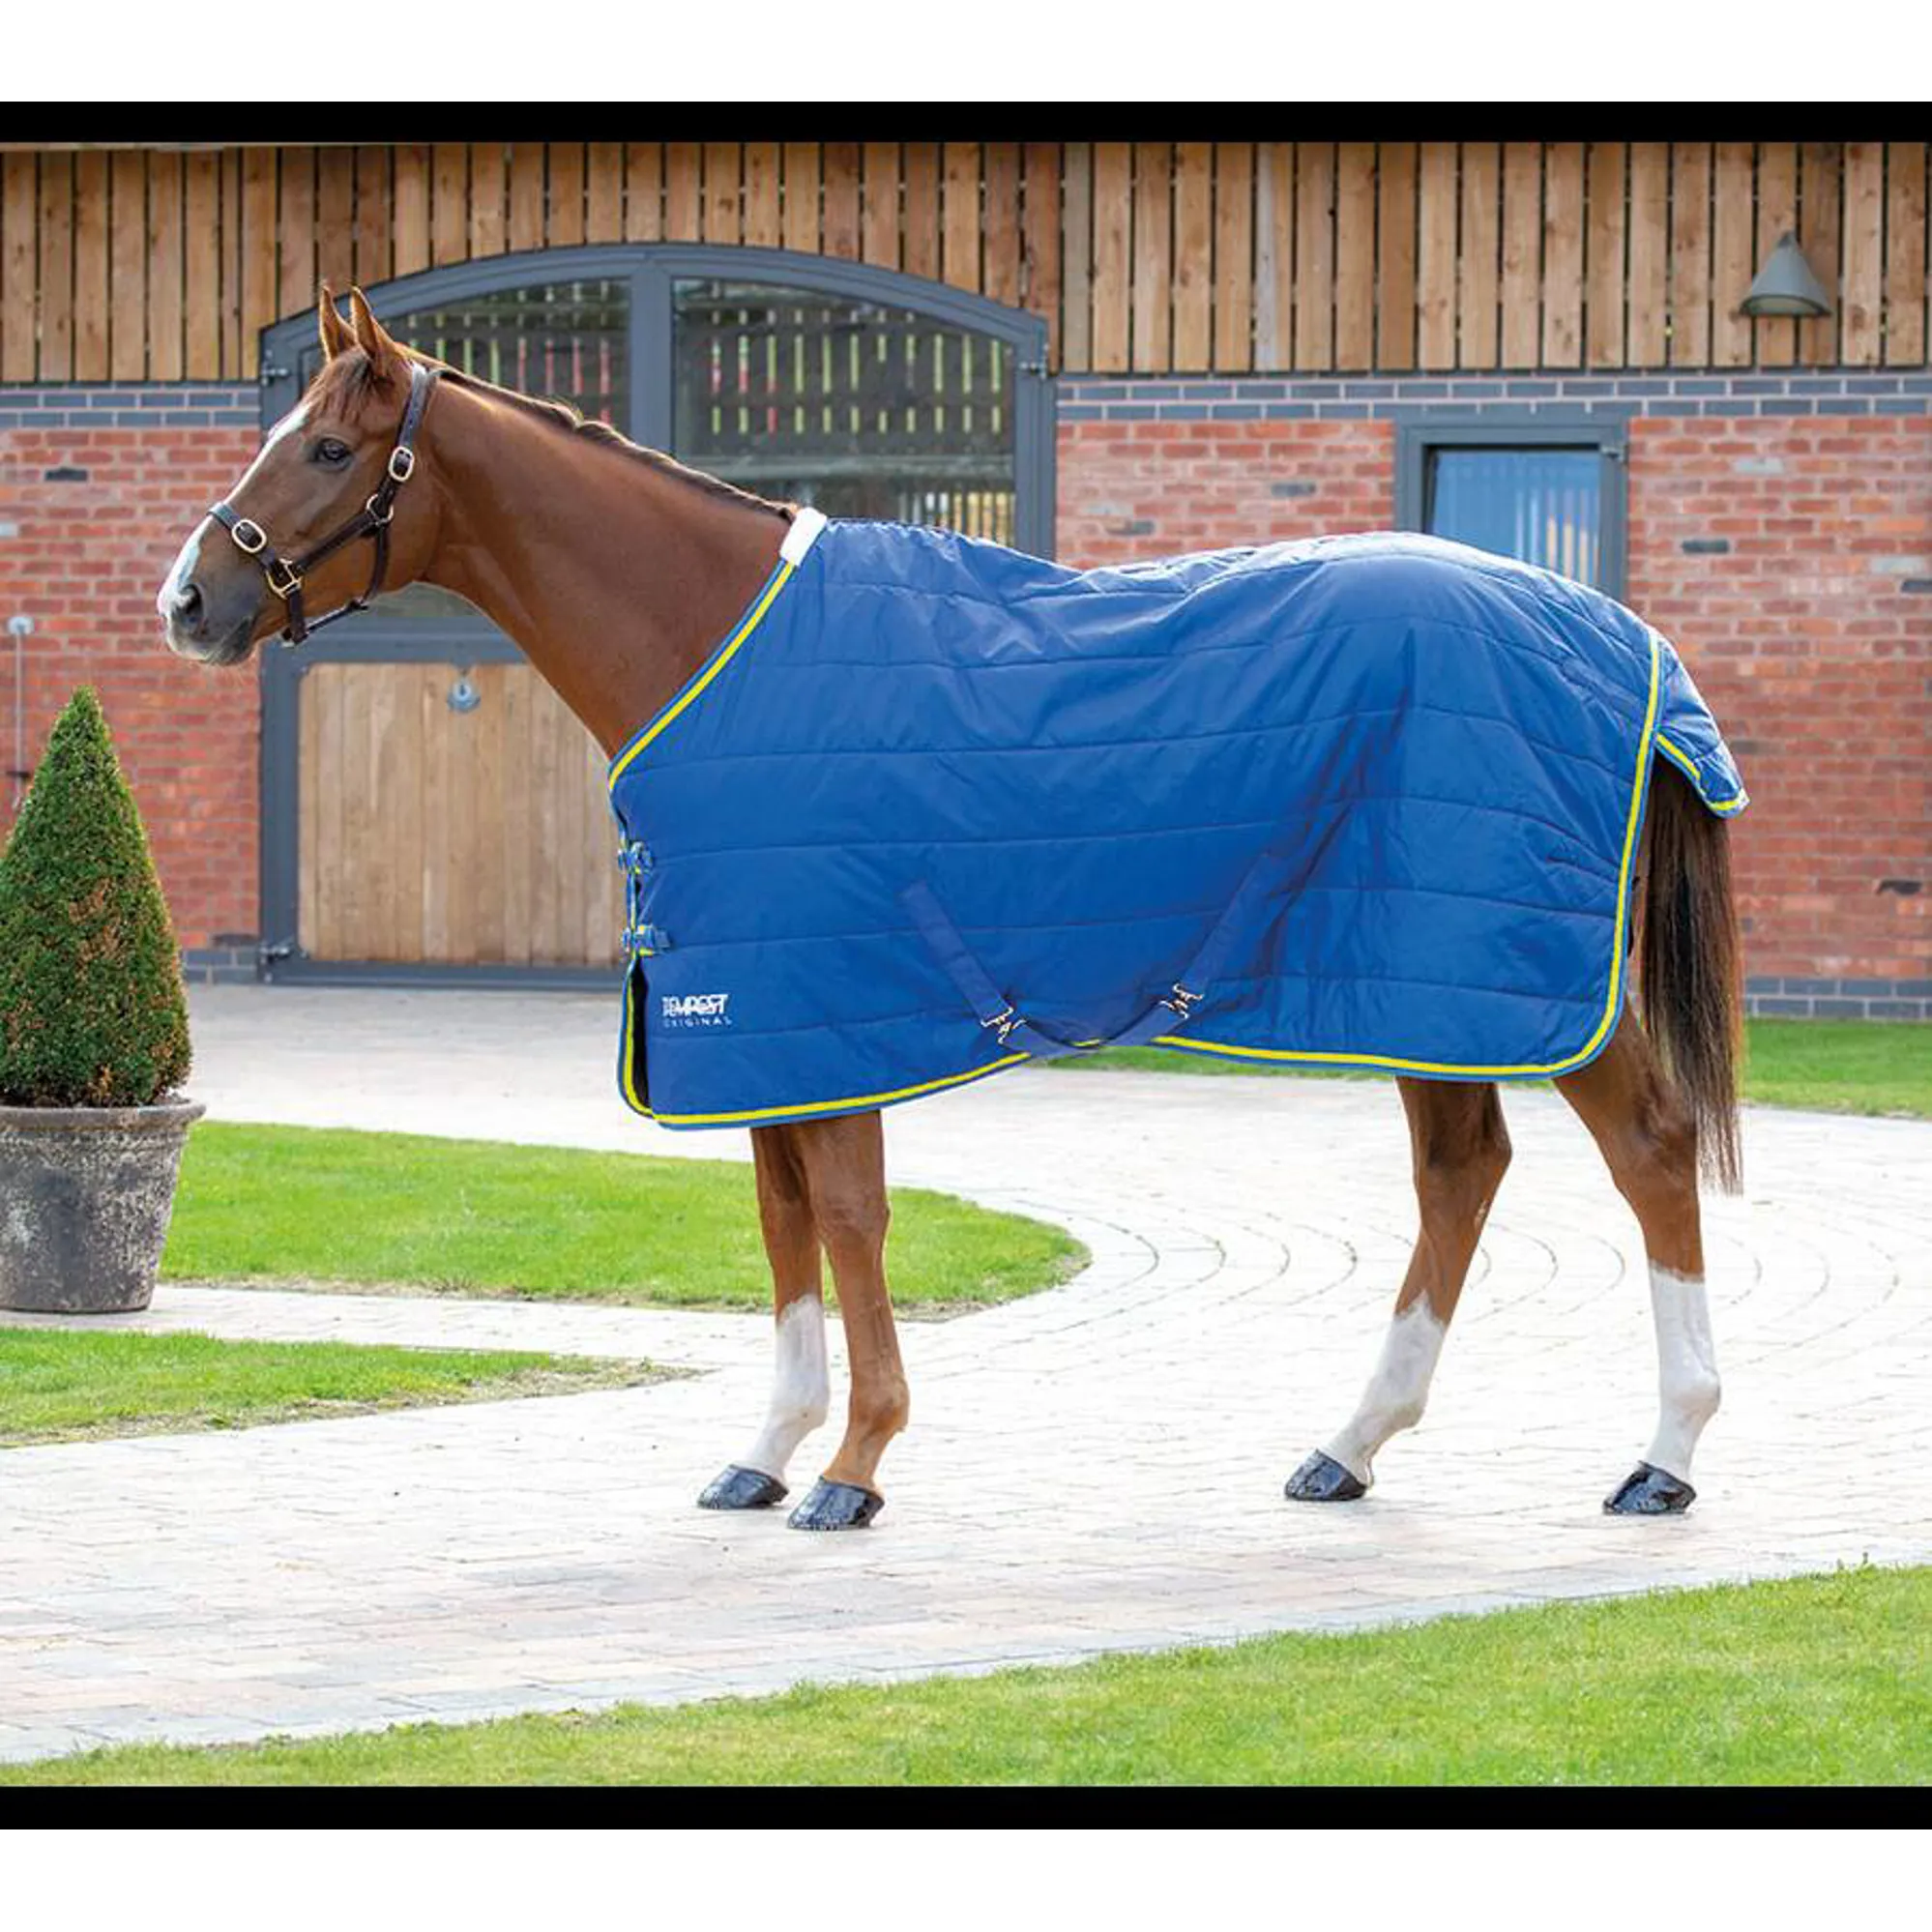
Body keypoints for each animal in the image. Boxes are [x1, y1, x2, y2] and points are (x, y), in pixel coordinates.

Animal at [157, 287, 1744, 1533]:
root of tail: (1616, 635)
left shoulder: (830, 1002)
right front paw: (765, 1452)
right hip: (1422, 981)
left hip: (1527, 982)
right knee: (1460, 1174)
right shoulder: (754, 1018)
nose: (189, 597)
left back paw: (1663, 1454)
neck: (719, 641)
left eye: (329, 448)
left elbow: (850, 1217)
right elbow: (781, 1214)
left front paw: (853, 1466)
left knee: (1651, 1150)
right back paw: (1348, 1447)